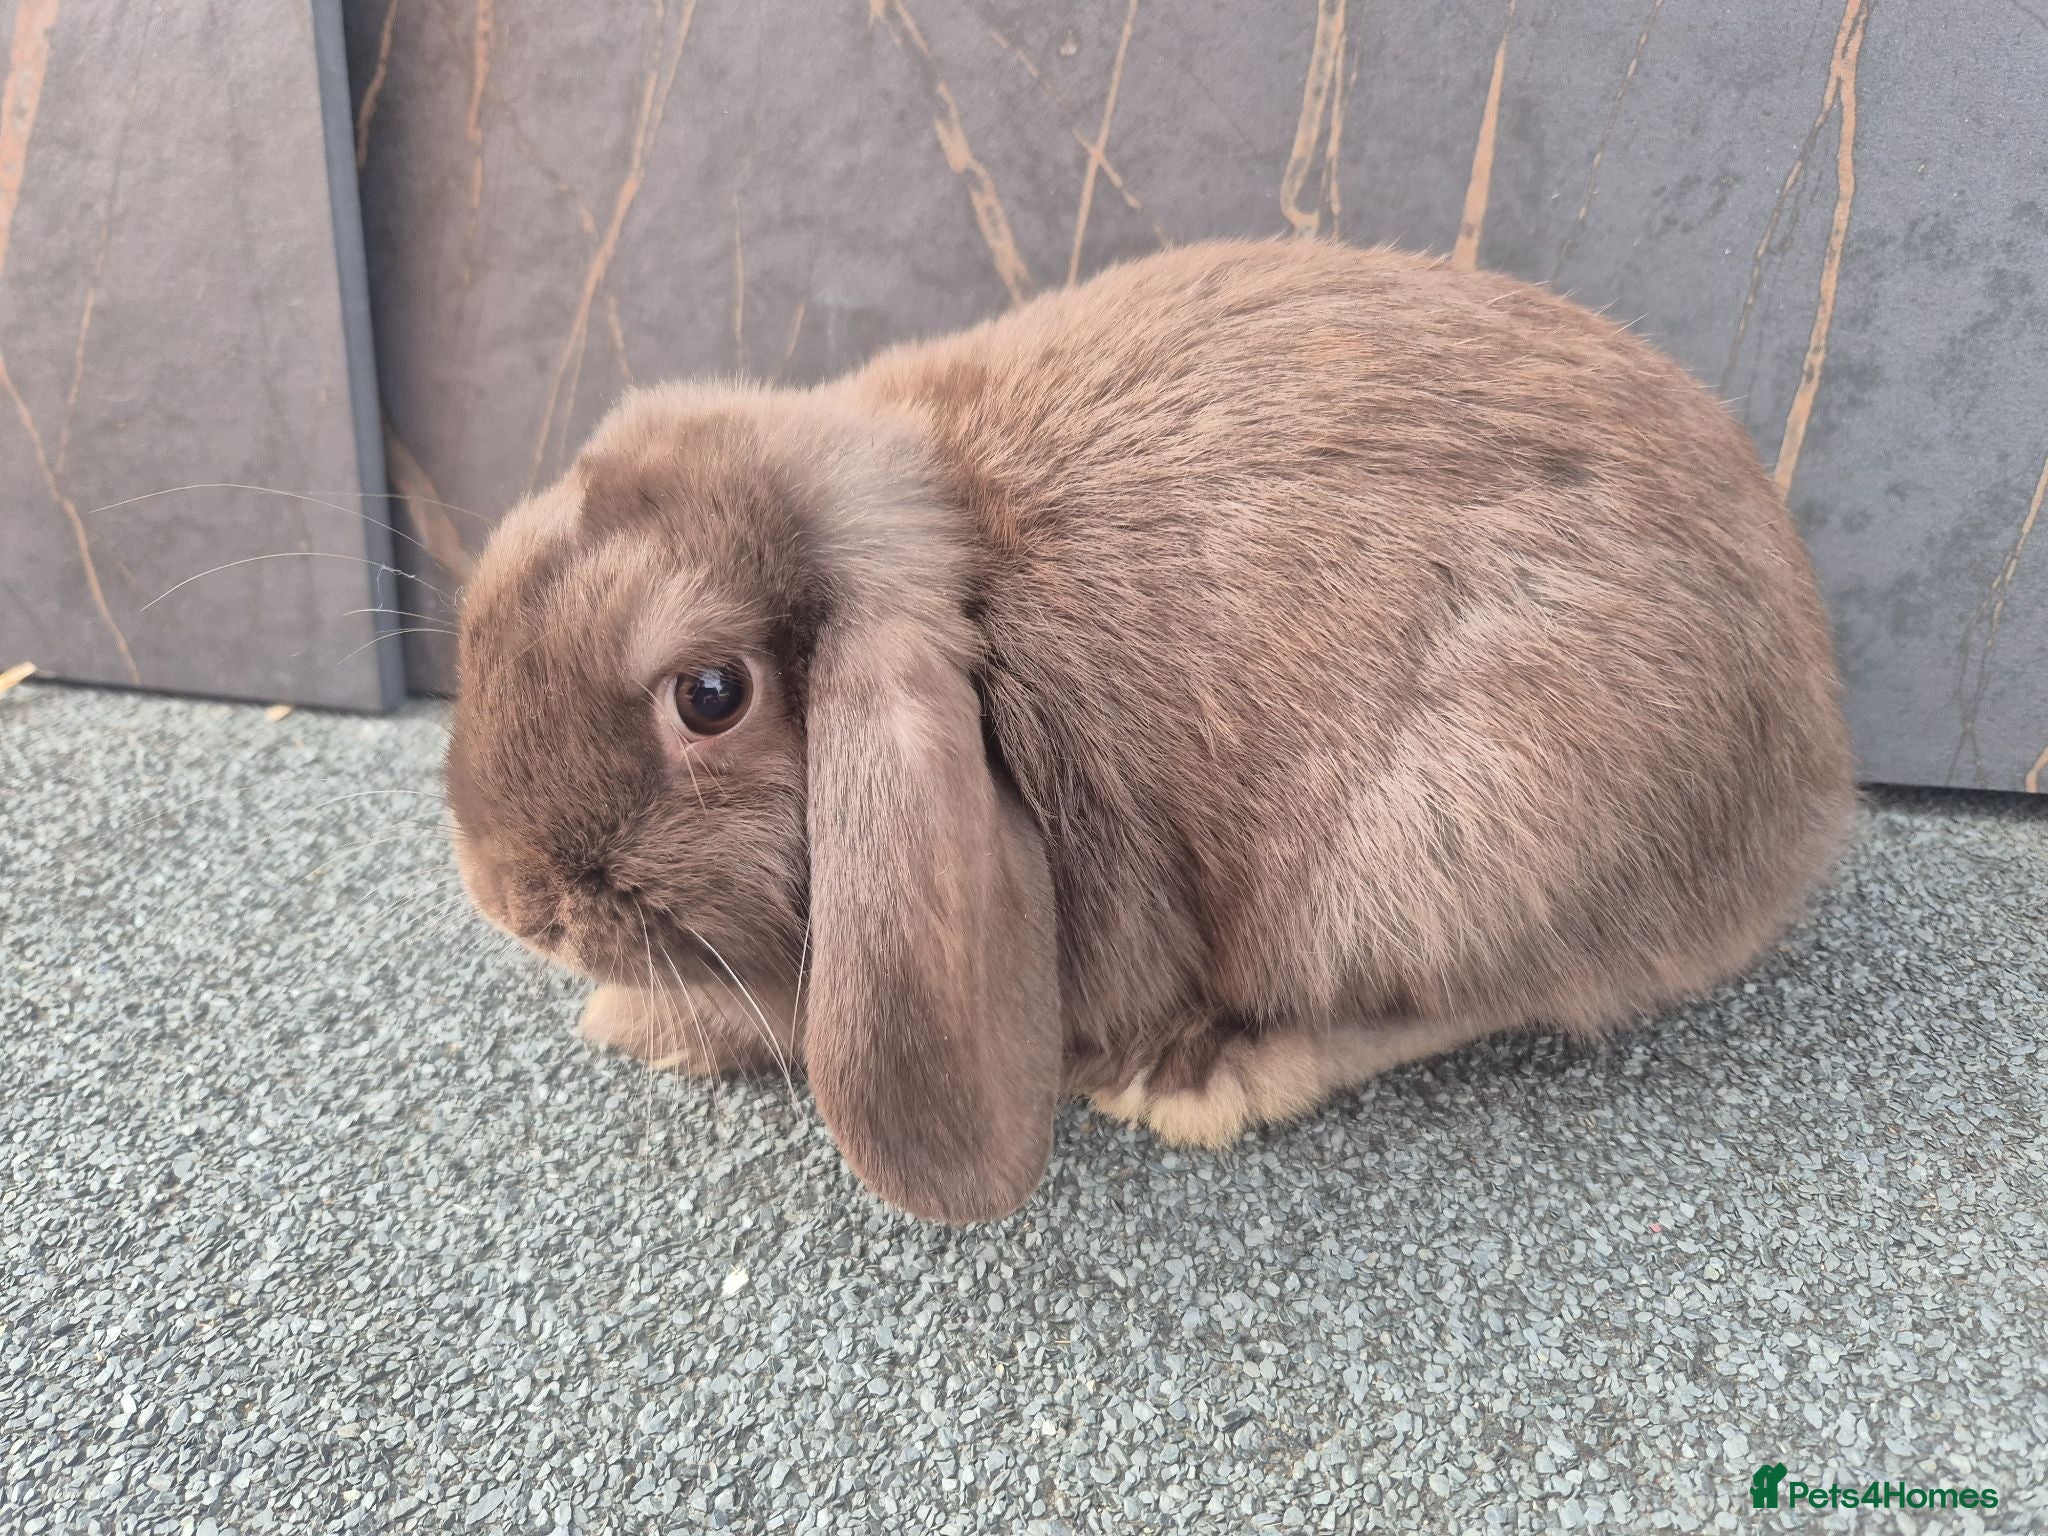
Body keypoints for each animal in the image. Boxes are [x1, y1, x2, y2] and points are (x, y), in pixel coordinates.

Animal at [446, 239, 1856, 1224]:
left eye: (709, 696)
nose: (511, 900)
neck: (962, 569)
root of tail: (1805, 779)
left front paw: (638, 1020)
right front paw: (629, 1019)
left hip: (1449, 841)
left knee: (1462, 1000)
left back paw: (1207, 1073)